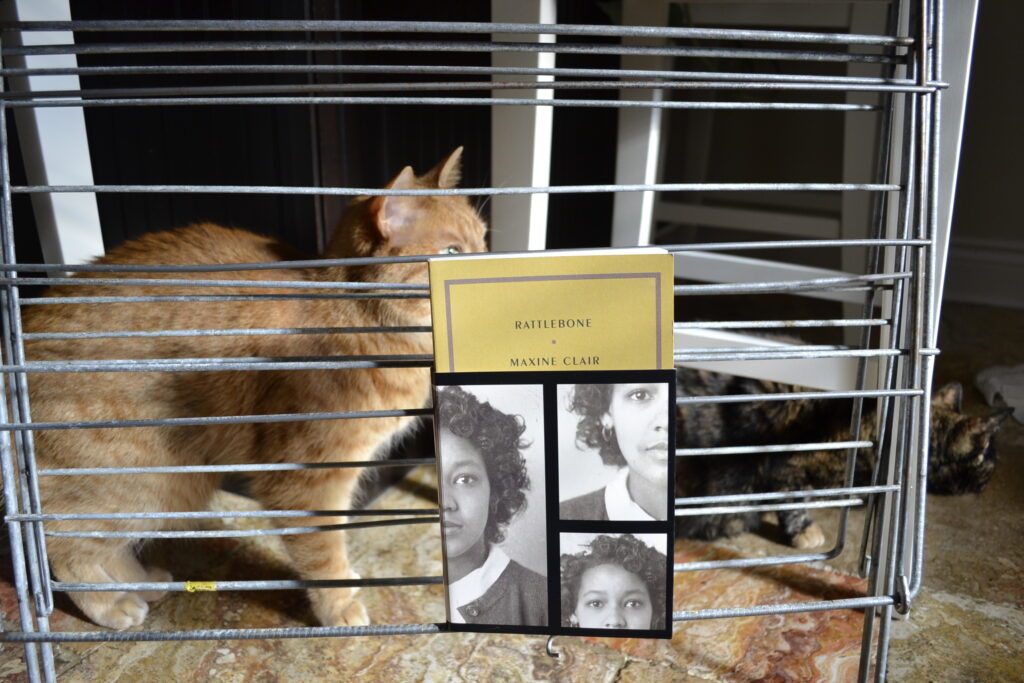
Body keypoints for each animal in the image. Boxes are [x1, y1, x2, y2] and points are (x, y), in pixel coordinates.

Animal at [23, 148, 487, 630]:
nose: (488, 268)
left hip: (167, 489)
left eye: (482, 241)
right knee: (61, 543)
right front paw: (339, 606)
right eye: (451, 252)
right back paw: (112, 604)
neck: (360, 325)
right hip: (143, 484)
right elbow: (323, 552)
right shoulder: (306, 481)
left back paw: (144, 584)